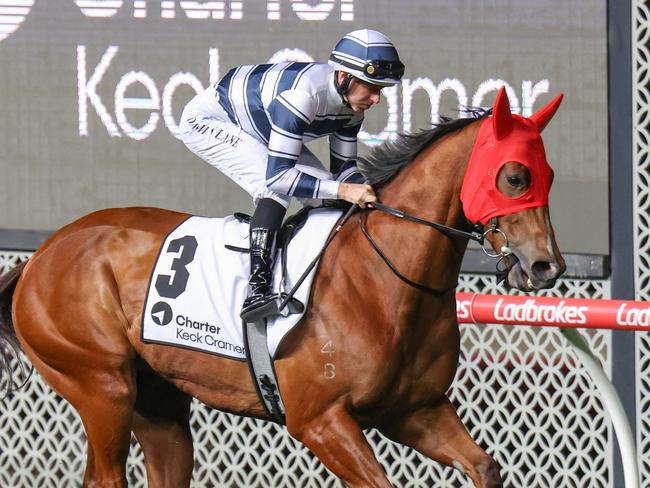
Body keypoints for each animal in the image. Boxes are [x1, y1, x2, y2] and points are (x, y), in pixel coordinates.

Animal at [0, 88, 560, 488]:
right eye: (514, 177)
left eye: (548, 175)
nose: (546, 266)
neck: (384, 282)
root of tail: (41, 255)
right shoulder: (319, 421)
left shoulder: (416, 410)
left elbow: (485, 467)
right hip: (101, 384)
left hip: (158, 404)